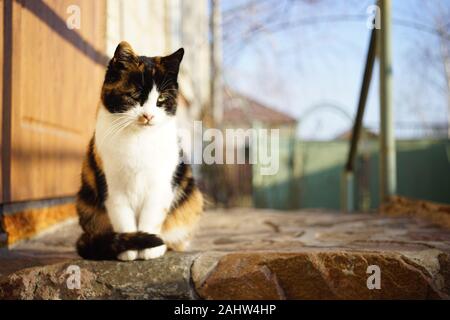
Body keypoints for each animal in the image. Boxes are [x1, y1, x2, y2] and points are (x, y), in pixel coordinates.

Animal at [76, 42, 203, 262]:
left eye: (161, 98)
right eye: (134, 95)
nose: (148, 116)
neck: (138, 140)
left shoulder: (161, 185)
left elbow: (152, 216)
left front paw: (151, 248)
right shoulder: (112, 187)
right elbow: (123, 218)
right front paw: (129, 251)